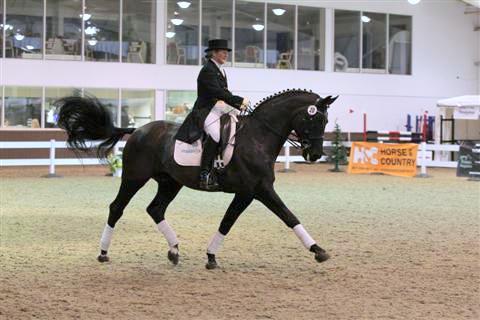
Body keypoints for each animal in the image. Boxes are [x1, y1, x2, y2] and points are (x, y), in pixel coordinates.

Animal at [57, 89, 338, 268]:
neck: (258, 137)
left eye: (326, 121)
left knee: (155, 209)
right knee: (117, 207)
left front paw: (318, 251)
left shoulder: (255, 191)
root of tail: (137, 130)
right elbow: (265, 218)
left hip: (170, 182)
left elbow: (283, 217)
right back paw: (103, 253)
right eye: (313, 117)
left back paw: (174, 250)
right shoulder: (253, 190)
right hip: (134, 178)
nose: (314, 155)